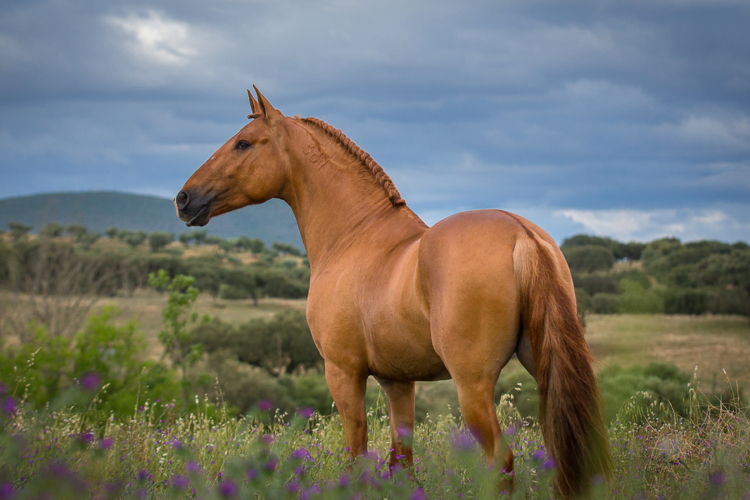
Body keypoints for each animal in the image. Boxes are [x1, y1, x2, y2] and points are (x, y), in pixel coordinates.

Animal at [179, 86, 612, 496]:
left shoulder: (343, 373)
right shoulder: (398, 382)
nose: (184, 199)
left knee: (501, 460)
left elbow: (357, 454)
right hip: (543, 371)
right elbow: (400, 463)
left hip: (472, 387)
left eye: (243, 143)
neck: (355, 236)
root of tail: (521, 234)